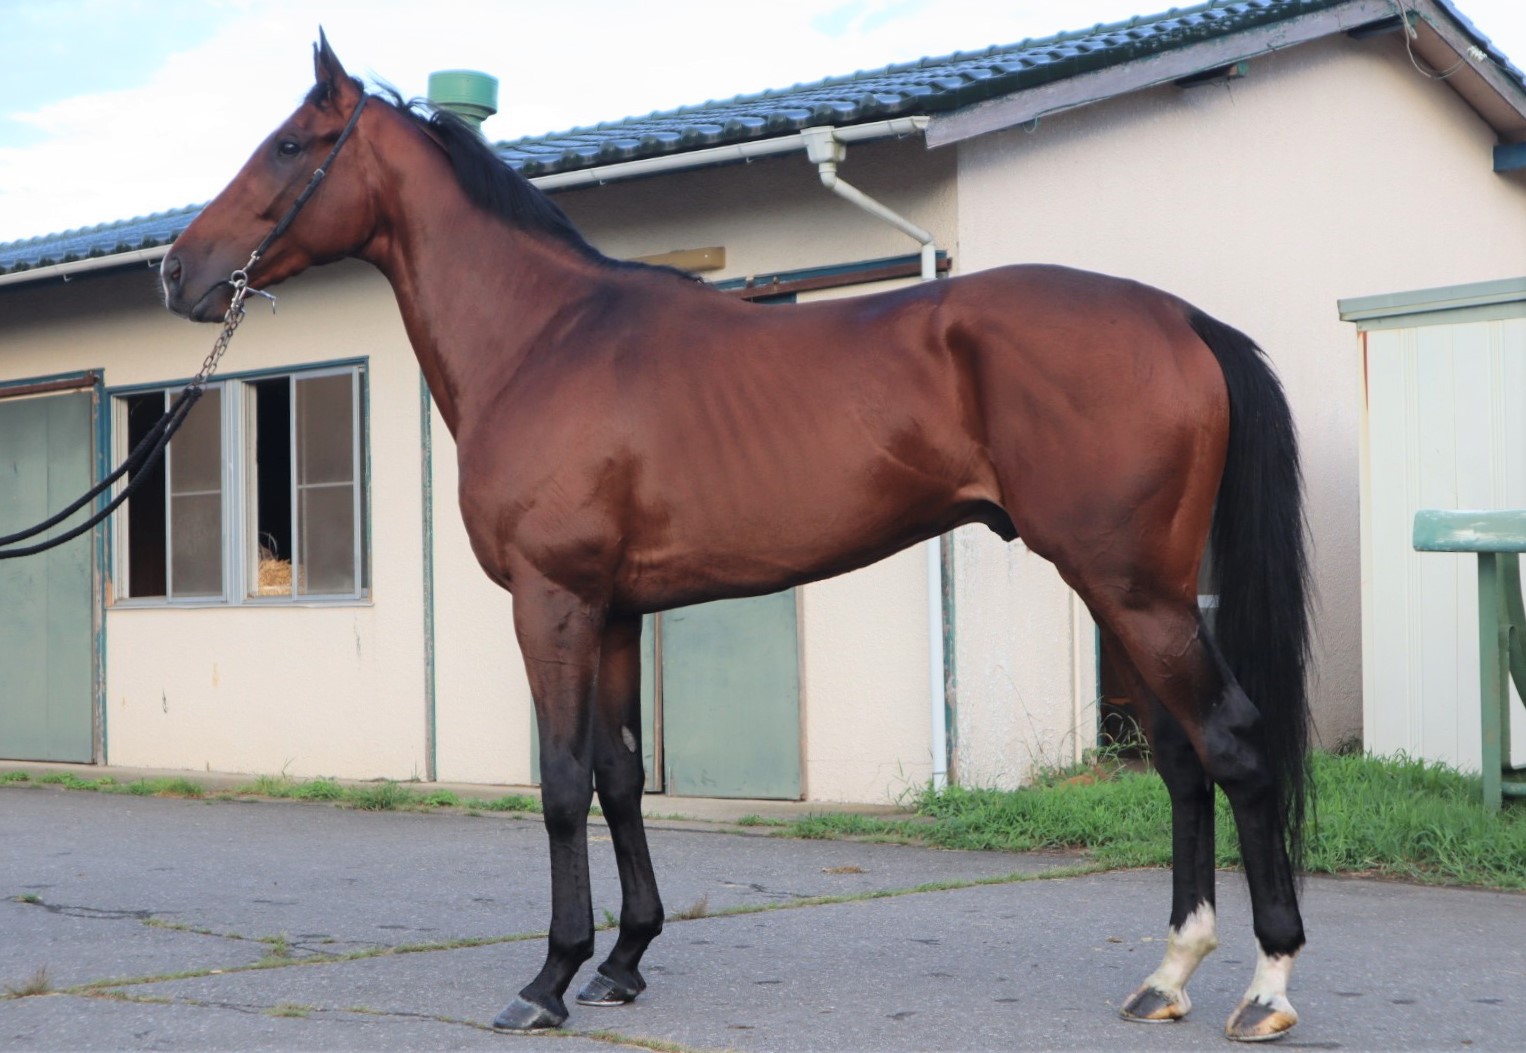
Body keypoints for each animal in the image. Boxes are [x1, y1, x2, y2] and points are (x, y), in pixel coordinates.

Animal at [160, 34, 1313, 1043]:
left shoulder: (552, 600)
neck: (542, 340)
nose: (177, 272)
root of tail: (1179, 319)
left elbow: (563, 782)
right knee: (1180, 762)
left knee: (1234, 746)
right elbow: (621, 776)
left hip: (1134, 589)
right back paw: (1165, 975)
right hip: (1122, 590)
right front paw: (624, 960)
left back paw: (1264, 988)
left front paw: (549, 977)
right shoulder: (614, 612)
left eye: (291, 145)